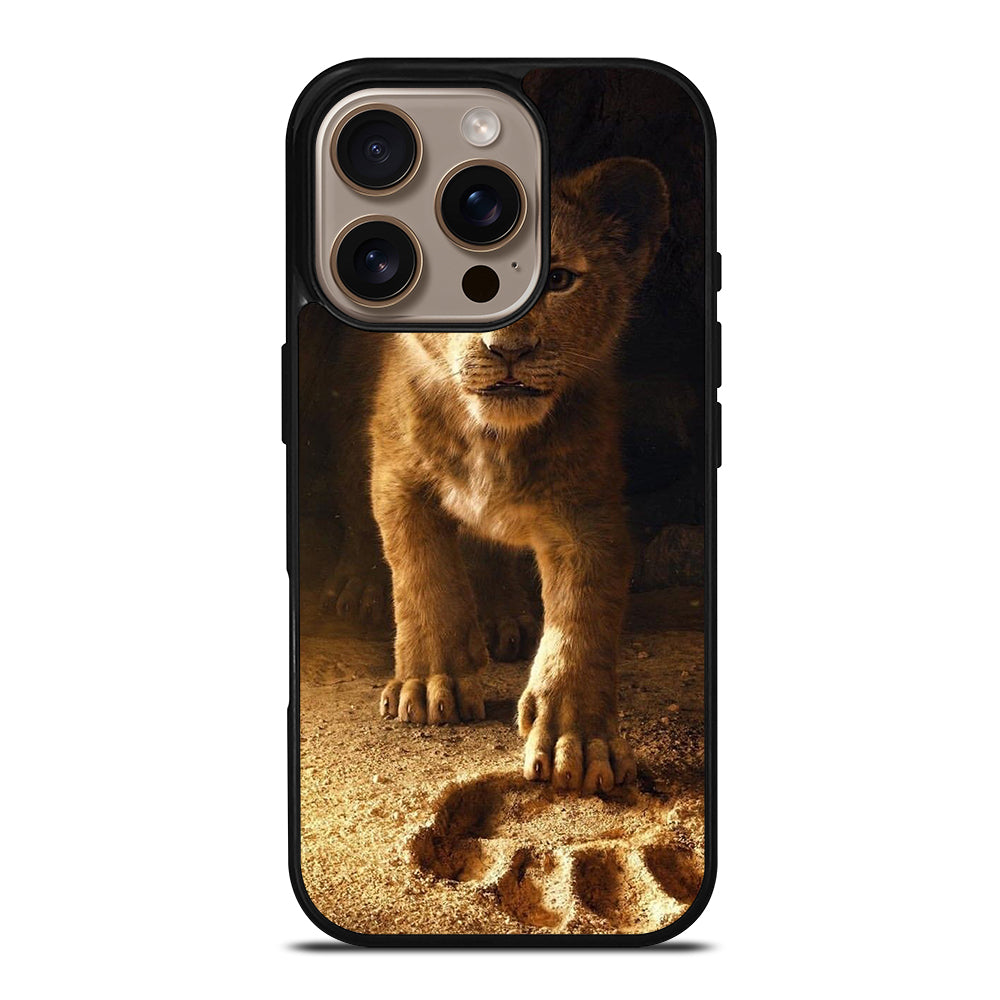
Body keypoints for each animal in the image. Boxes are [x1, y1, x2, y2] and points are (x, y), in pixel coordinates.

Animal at [372, 157, 670, 794]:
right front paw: (430, 684)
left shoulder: (589, 508)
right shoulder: (396, 473)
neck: (493, 438)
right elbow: (423, 574)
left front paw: (577, 740)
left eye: (557, 279)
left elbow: (582, 615)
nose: (508, 350)